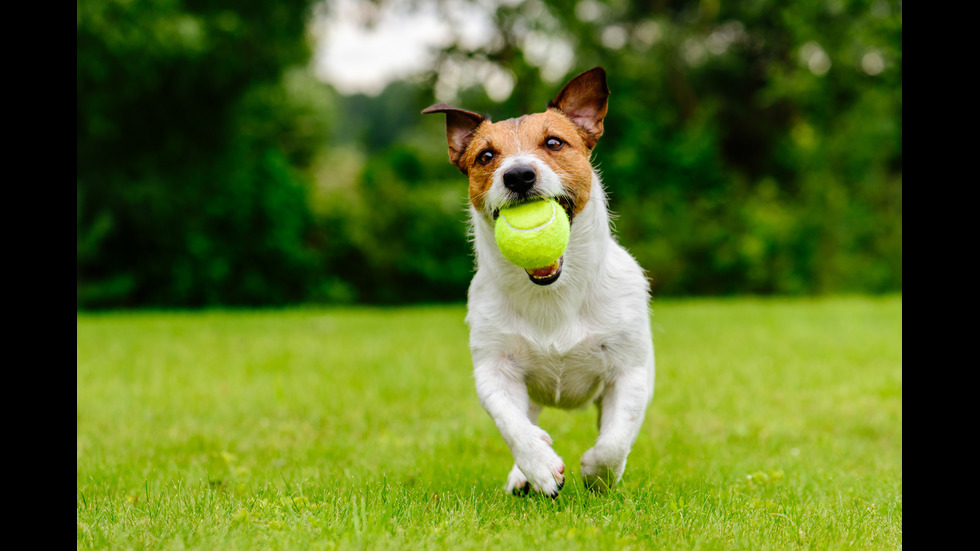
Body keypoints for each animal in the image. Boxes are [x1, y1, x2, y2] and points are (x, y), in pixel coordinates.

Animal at [424, 68, 656, 496]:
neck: (552, 293)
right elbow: (511, 424)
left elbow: (615, 439)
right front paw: (538, 465)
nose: (518, 175)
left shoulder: (630, 371)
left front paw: (598, 472)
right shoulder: (494, 369)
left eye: (553, 142)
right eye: (486, 156)